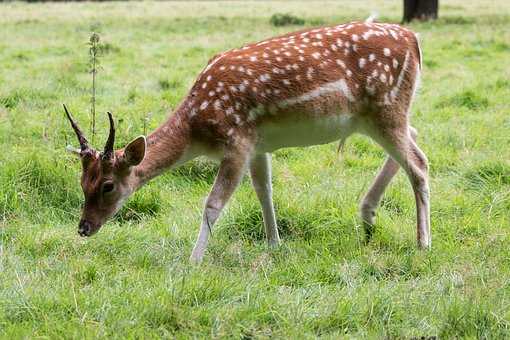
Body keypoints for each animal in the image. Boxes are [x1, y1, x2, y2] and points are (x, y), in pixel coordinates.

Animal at [64, 19, 430, 262]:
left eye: (108, 185)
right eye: (82, 182)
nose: (84, 227)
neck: (198, 130)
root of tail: (414, 40)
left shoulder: (237, 142)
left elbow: (213, 204)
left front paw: (193, 261)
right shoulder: (258, 145)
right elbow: (263, 190)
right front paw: (274, 243)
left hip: (385, 106)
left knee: (419, 163)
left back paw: (422, 242)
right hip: (377, 116)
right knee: (412, 138)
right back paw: (367, 219)